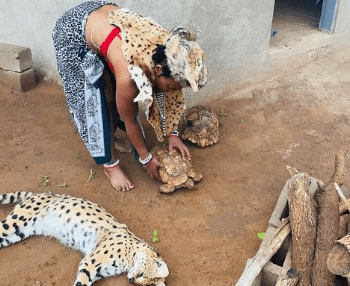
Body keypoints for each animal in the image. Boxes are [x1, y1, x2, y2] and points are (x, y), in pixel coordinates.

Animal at [0, 191, 168, 284]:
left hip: (19, 233)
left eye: (143, 283)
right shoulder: (90, 263)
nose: (131, 281)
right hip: (14, 222)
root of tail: (44, 193)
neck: (132, 253)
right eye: (142, 275)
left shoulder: (95, 270)